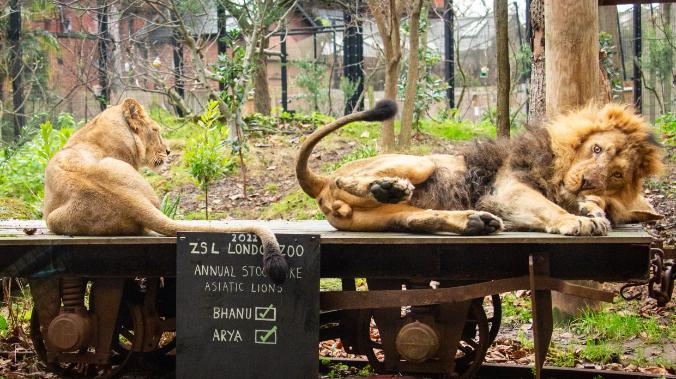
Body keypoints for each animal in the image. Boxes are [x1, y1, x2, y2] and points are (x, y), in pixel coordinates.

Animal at [294, 101, 660, 238]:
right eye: (596, 149)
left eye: (616, 175)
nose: (585, 182)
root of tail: (320, 182)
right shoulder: (507, 189)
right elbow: (548, 207)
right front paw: (578, 220)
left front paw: (593, 211)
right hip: (422, 160)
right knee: (350, 178)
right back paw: (388, 187)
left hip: (388, 217)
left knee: (415, 218)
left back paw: (475, 222)